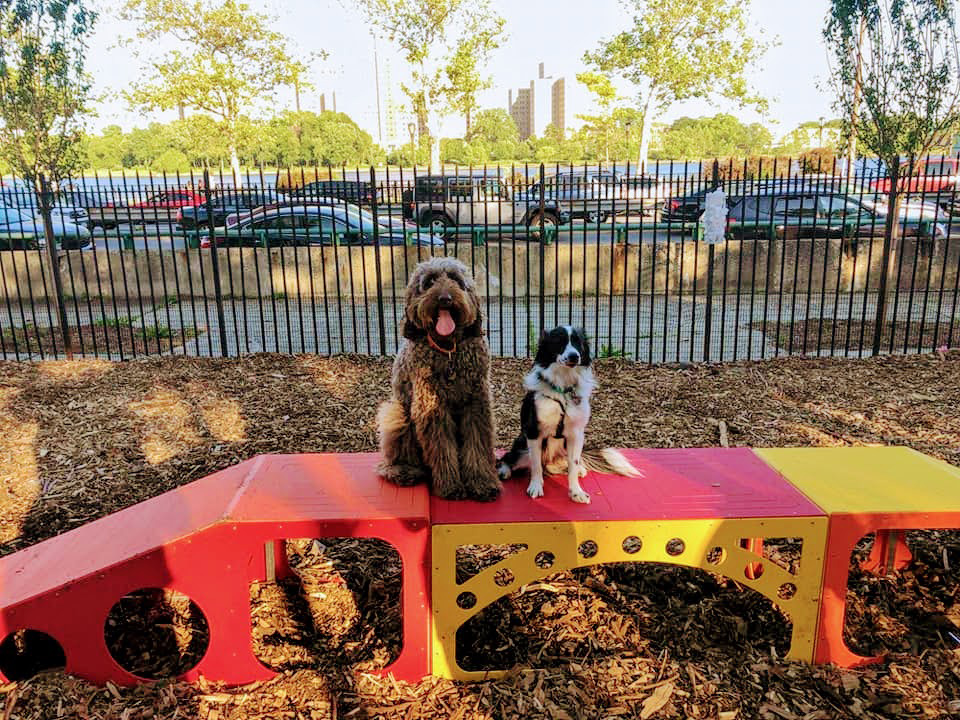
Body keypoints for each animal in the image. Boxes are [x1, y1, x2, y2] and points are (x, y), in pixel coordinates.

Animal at [378, 258, 502, 500]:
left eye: (455, 279)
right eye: (429, 282)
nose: (445, 298)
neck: (449, 350)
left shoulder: (477, 402)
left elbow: (478, 444)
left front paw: (481, 482)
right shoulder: (432, 406)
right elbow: (442, 446)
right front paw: (450, 486)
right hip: (399, 414)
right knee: (392, 459)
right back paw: (404, 471)